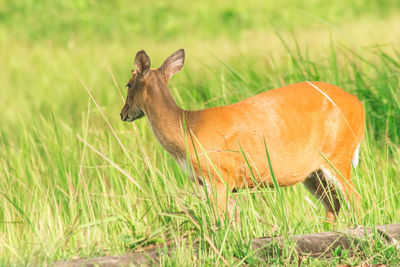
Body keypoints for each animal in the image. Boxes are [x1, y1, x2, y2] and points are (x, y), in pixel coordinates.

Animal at [119, 48, 366, 226]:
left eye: (128, 84)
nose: (123, 113)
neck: (187, 130)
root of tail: (359, 105)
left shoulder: (219, 177)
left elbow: (220, 221)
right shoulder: (212, 182)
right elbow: (233, 219)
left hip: (338, 154)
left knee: (355, 200)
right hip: (312, 172)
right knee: (334, 204)